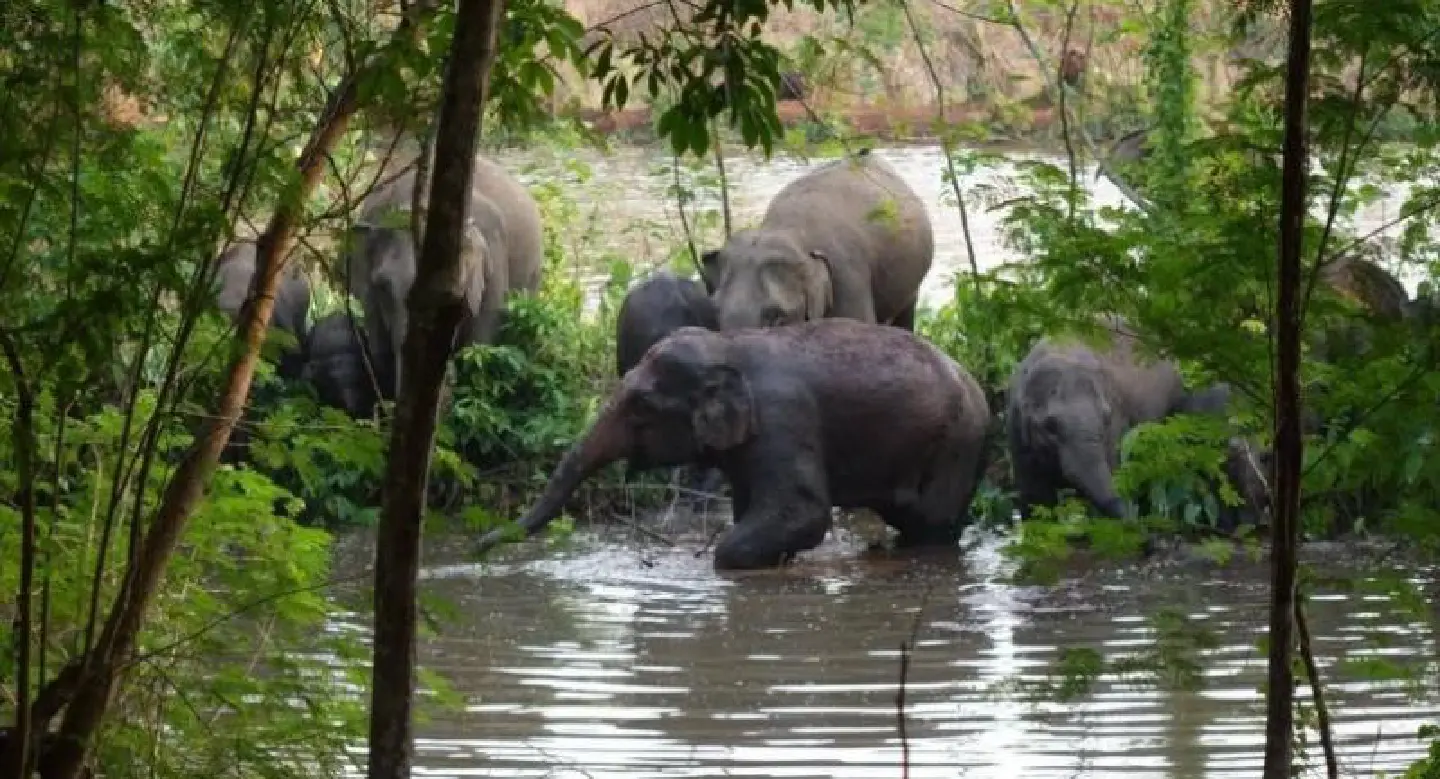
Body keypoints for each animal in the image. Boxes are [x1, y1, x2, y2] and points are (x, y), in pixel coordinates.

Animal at [475, 318, 991, 570]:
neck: (728, 346)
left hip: (956, 447)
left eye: (642, 405)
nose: (478, 547)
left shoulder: (783, 420)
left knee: (932, 524)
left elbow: (802, 514)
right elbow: (756, 512)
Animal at [1006, 316, 1231, 521]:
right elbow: (1034, 498)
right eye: (1050, 426)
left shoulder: (1117, 423)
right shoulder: (1016, 430)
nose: (1133, 518)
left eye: (1106, 419)